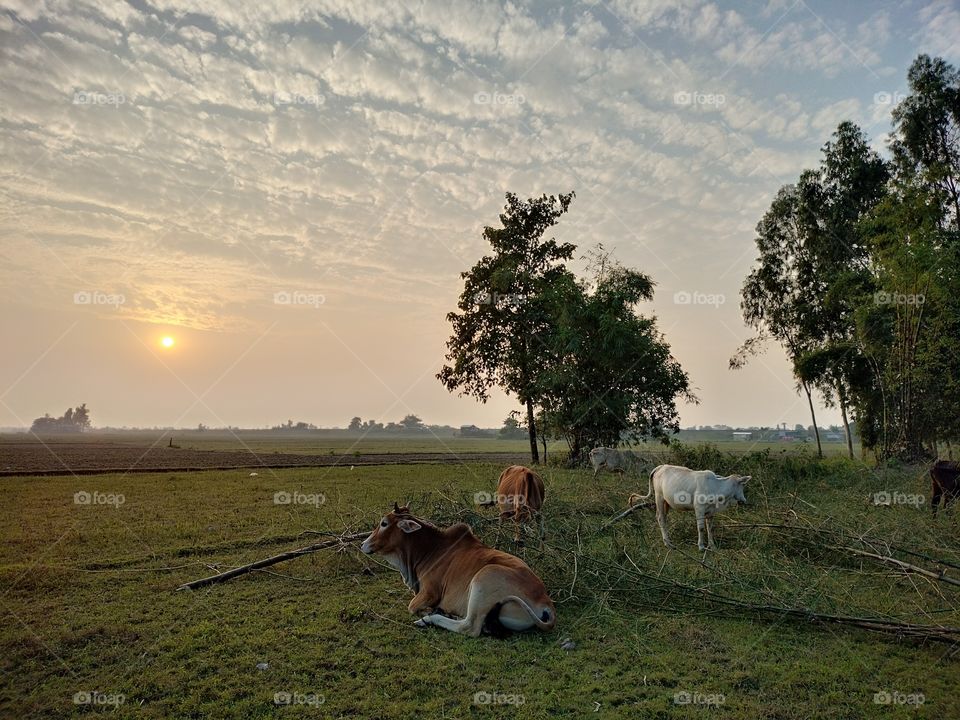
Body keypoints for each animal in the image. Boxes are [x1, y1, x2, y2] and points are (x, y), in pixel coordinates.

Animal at [360, 503, 556, 637]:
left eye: (384, 523)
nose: (363, 544)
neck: (431, 549)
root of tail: (544, 600)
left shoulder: (429, 592)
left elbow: (412, 606)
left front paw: (429, 612)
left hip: (483, 579)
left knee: (469, 627)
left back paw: (429, 619)